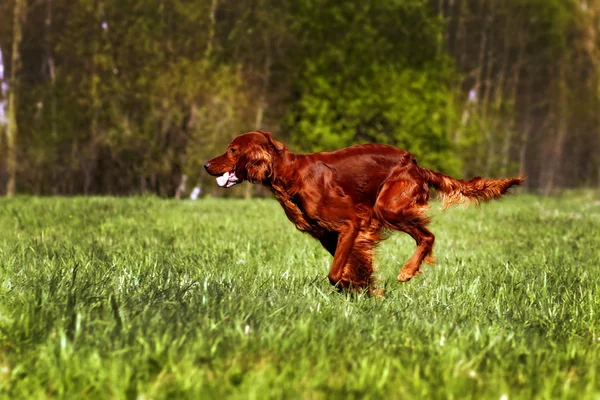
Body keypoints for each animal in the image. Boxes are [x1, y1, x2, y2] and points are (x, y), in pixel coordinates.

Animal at [204, 131, 524, 290]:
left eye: (233, 150)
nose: (206, 165)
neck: (291, 173)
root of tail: (417, 165)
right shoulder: (329, 235)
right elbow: (356, 265)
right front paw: (364, 288)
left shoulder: (351, 223)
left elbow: (335, 273)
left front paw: (353, 287)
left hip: (388, 206)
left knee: (427, 236)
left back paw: (407, 272)